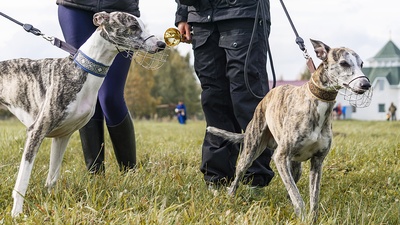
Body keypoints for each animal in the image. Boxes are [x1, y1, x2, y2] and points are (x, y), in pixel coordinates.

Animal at [0, 11, 165, 217]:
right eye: (133, 27)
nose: (162, 44)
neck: (82, 69)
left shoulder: (63, 136)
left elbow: (52, 178)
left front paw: (50, 204)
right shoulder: (36, 131)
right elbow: (23, 179)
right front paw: (17, 213)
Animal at [206, 40, 372, 221]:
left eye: (361, 64)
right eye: (343, 63)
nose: (366, 84)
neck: (316, 102)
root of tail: (268, 94)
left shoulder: (317, 162)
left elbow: (313, 198)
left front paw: (312, 219)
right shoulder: (280, 157)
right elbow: (297, 197)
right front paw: (303, 218)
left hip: (295, 167)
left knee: (290, 188)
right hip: (251, 151)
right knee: (239, 177)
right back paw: (230, 197)